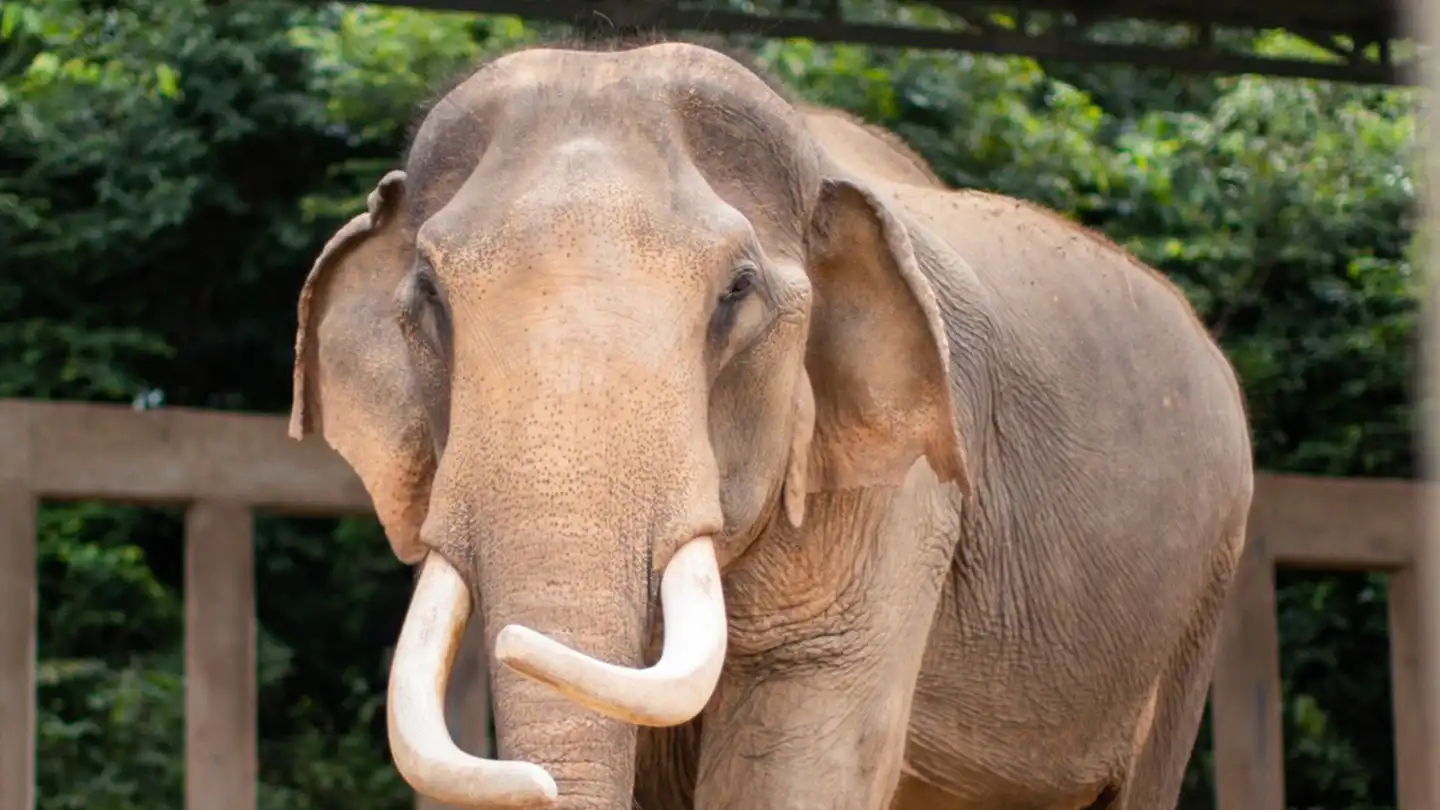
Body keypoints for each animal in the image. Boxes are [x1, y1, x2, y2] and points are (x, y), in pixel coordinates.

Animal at [287, 37, 1254, 810]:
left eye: (735, 293)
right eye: (430, 298)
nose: (523, 646)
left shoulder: (902, 509)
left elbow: (798, 764)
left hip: (1200, 598)